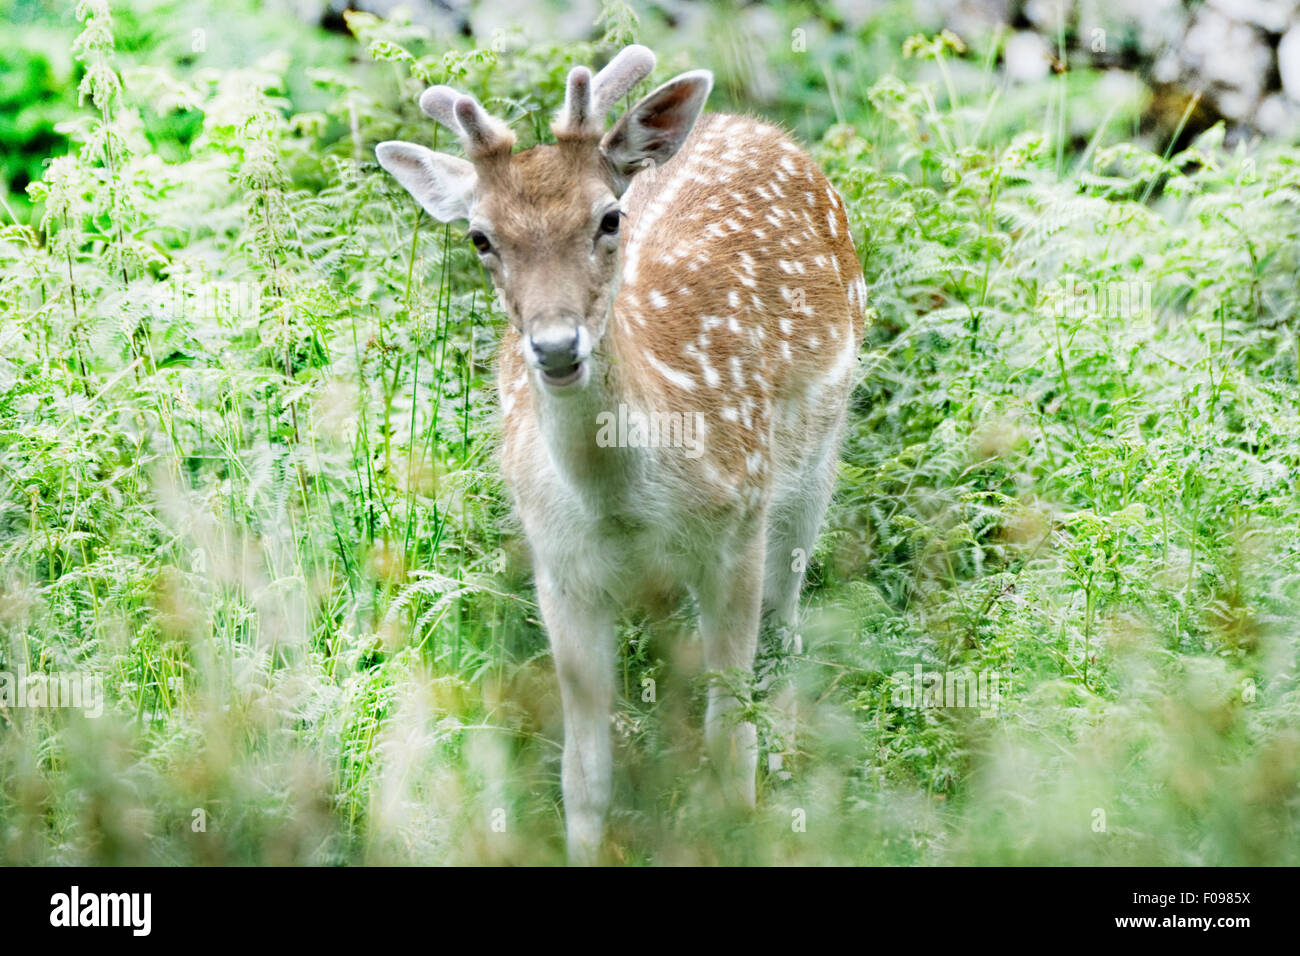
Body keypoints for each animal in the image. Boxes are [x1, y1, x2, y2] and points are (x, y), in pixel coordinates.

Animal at [377, 46, 863, 868]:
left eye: (608, 217)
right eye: (480, 237)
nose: (554, 346)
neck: (625, 507)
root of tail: (752, 123)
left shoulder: (737, 529)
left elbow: (730, 741)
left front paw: (742, 827)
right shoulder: (561, 570)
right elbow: (583, 775)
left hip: (816, 452)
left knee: (788, 616)